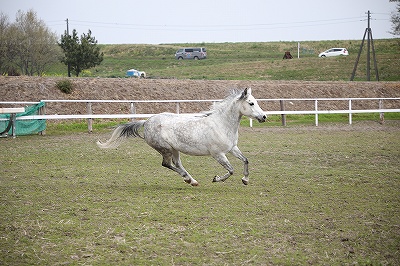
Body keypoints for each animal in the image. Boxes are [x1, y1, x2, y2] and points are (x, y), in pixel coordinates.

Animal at [96, 88, 266, 186]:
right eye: (251, 103)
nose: (264, 117)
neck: (221, 124)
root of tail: (147, 121)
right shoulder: (218, 154)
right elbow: (230, 170)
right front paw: (216, 179)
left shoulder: (232, 148)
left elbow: (245, 160)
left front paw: (245, 180)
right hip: (165, 149)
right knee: (167, 164)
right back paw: (189, 179)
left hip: (174, 149)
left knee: (176, 164)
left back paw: (191, 180)